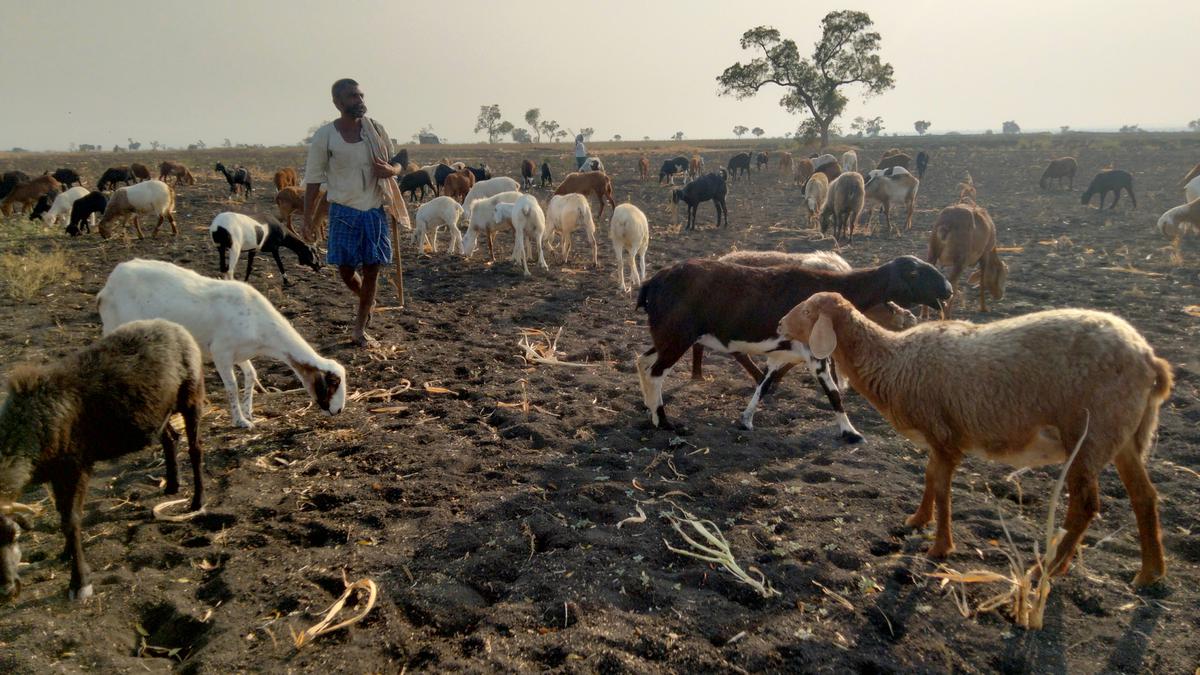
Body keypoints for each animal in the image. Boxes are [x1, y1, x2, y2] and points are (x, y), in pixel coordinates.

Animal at [0, 317, 205, 598]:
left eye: (15, 536)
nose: (7, 591)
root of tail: (171, 325)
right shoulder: (56, 472)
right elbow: (62, 514)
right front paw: (66, 553)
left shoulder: (76, 465)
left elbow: (71, 520)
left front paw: (80, 582)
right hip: (157, 412)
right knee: (170, 439)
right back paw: (172, 485)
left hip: (191, 396)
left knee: (196, 449)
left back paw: (197, 502)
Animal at [97, 257, 348, 425]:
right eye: (333, 383)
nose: (338, 411)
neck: (262, 327)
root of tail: (107, 287)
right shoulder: (221, 352)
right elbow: (232, 386)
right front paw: (240, 421)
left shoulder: (240, 353)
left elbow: (251, 375)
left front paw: (249, 413)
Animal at [633, 254, 950, 439]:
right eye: (916, 273)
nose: (948, 290)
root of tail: (652, 283)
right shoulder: (815, 355)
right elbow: (833, 394)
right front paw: (850, 432)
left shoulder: (783, 353)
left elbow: (763, 385)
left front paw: (746, 420)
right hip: (677, 336)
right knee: (655, 373)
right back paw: (664, 422)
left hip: (666, 336)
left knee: (643, 362)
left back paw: (650, 411)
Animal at [777, 291, 1171, 586]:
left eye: (809, 311)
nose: (779, 323)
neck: (894, 362)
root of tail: (1149, 358)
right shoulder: (937, 439)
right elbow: (929, 479)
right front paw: (917, 520)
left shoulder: (944, 436)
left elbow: (942, 489)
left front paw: (939, 548)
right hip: (1122, 435)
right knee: (1144, 496)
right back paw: (1149, 573)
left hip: (1090, 433)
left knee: (1085, 506)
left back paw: (1043, 570)